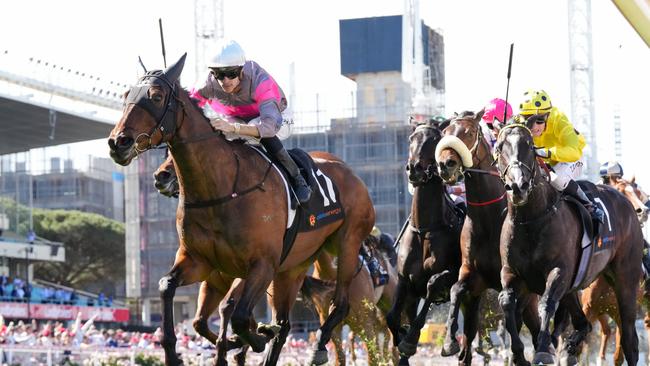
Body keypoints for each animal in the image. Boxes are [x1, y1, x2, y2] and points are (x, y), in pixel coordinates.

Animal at [108, 55, 372, 366]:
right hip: (292, 267)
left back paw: (316, 347)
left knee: (339, 305)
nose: (118, 142)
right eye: (126, 95)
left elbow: (240, 316)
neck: (221, 188)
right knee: (284, 325)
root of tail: (351, 173)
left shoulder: (261, 264)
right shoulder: (200, 262)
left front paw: (252, 339)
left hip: (347, 244)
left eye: (156, 96)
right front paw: (174, 353)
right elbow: (167, 286)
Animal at [382, 120, 464, 366]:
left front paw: (409, 340)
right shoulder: (404, 281)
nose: (415, 169)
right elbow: (392, 318)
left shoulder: (452, 272)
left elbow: (433, 285)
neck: (426, 229)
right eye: (412, 138)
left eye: (435, 139)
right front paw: (402, 342)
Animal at [432, 111, 540, 366]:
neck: (488, 219)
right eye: (445, 132)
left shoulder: (514, 279)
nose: (446, 164)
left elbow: (511, 314)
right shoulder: (472, 275)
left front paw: (517, 352)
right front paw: (449, 343)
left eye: (470, 132)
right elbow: (456, 290)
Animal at [494, 121, 640, 364]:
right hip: (574, 288)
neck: (531, 219)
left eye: (530, 146)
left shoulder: (559, 270)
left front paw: (543, 349)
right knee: (583, 323)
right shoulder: (511, 272)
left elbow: (546, 303)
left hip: (625, 278)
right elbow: (506, 302)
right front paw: (518, 353)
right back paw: (570, 346)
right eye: (498, 147)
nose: (517, 186)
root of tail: (626, 204)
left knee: (629, 337)